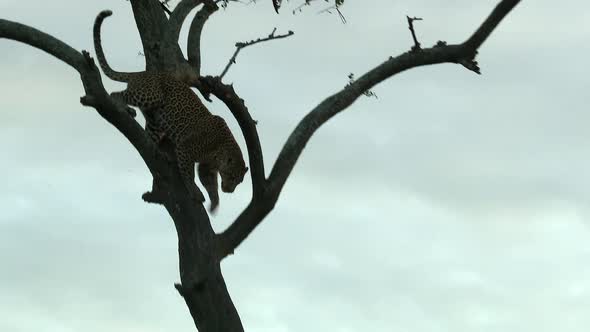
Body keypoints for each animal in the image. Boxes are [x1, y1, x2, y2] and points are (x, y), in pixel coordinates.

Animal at [93, 11, 250, 213]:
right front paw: (195, 192)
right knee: (117, 94)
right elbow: (189, 175)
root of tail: (141, 73)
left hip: (155, 119)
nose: (230, 190)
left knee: (149, 133)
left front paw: (214, 203)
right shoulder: (185, 149)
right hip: (151, 95)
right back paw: (122, 107)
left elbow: (211, 185)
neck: (220, 152)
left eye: (238, 182)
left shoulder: (206, 167)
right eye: (232, 177)